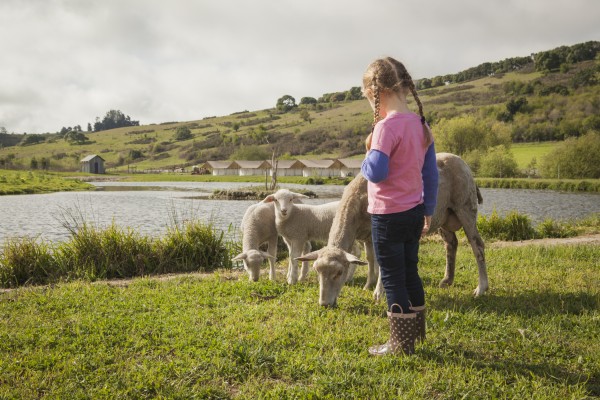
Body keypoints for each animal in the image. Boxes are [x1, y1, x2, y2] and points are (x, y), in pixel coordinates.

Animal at [298, 152, 490, 306]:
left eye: (339, 272)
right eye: (317, 271)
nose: (324, 304)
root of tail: (462, 162)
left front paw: (378, 293)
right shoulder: (367, 235)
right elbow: (370, 259)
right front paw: (368, 285)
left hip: (465, 206)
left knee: (477, 246)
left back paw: (481, 288)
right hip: (443, 215)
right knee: (451, 244)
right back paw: (447, 281)